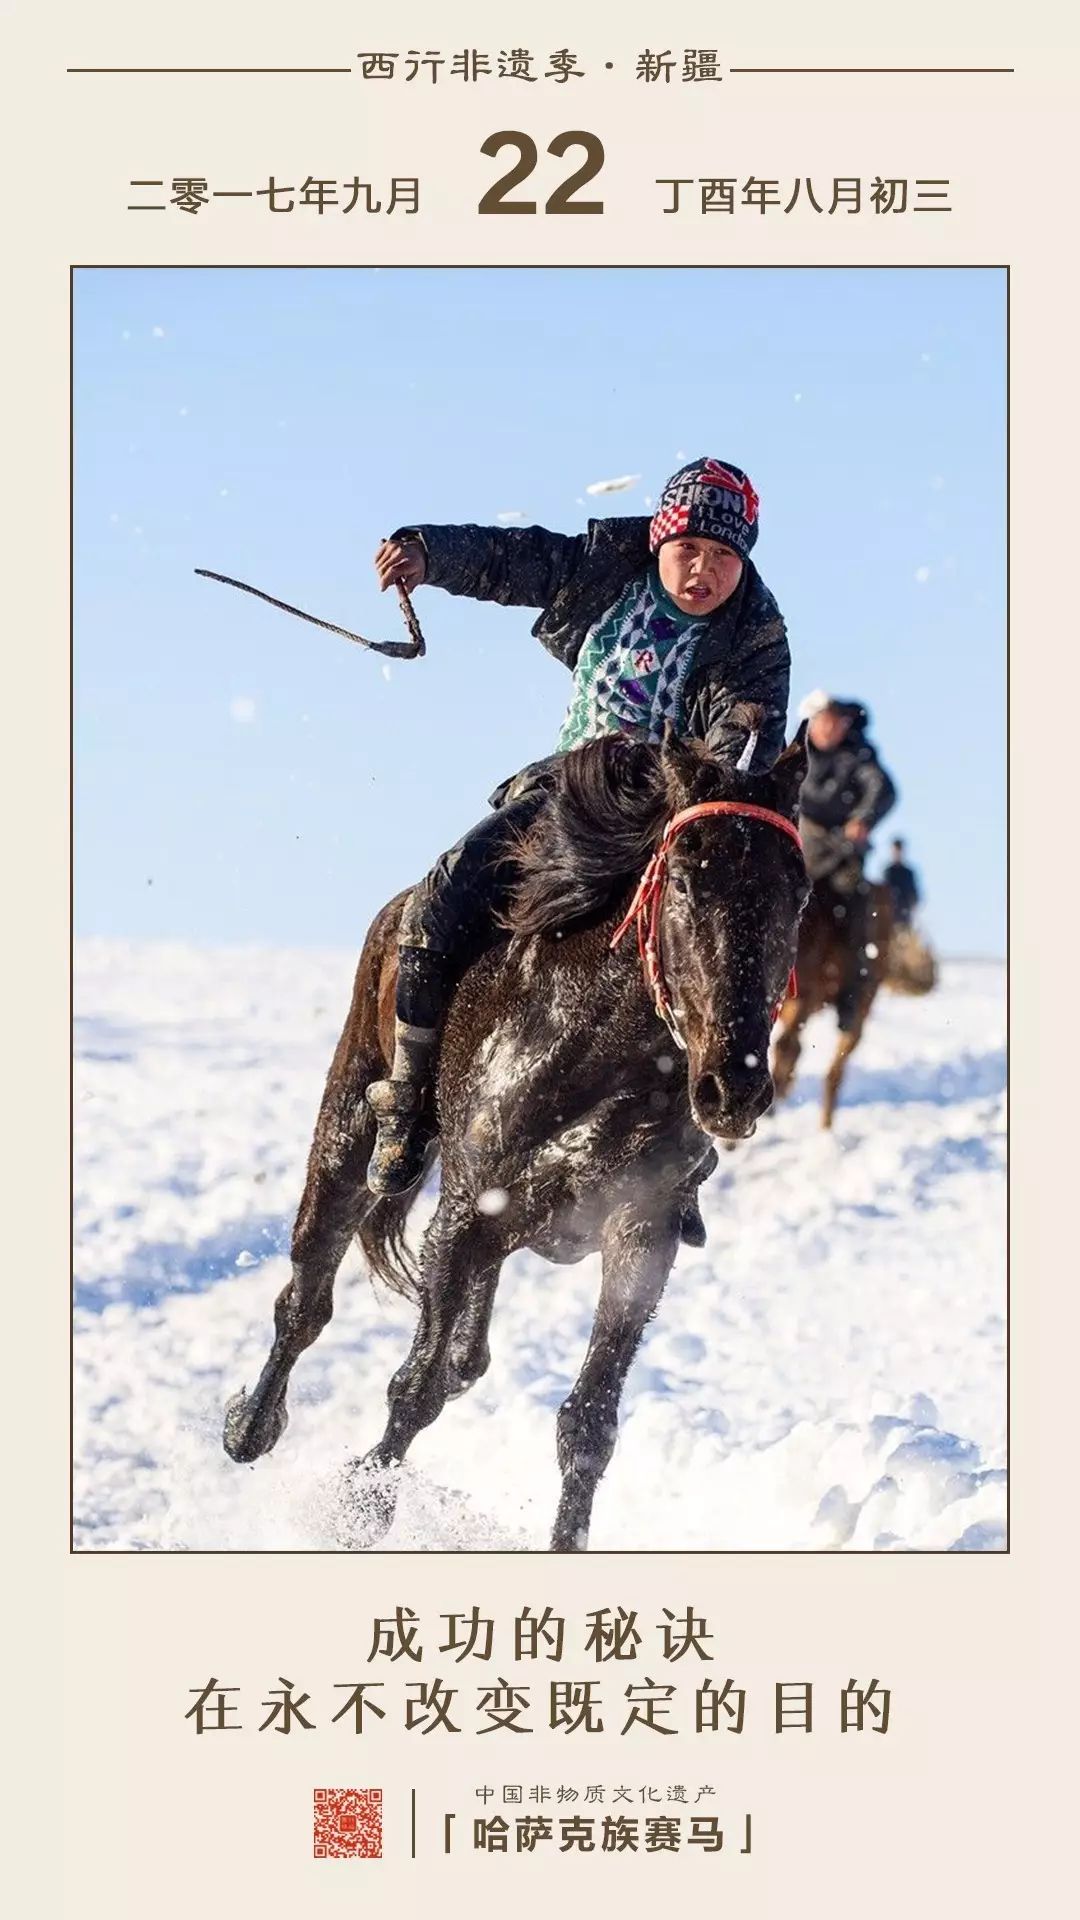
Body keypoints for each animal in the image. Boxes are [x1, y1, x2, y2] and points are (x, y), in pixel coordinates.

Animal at [220, 725, 807, 1551]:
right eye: (686, 879)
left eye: (799, 891)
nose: (735, 1087)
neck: (599, 1052)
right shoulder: (466, 1216)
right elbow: (414, 1388)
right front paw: (361, 1507)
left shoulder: (641, 1232)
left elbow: (588, 1425)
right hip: (351, 1119)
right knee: (308, 1292)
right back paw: (249, 1427)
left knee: (467, 1357)